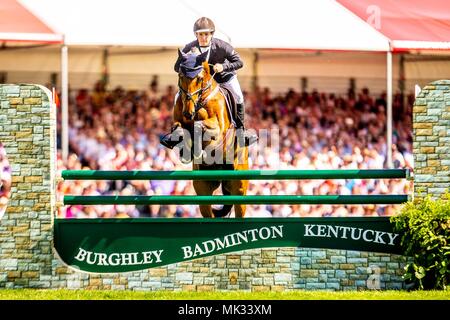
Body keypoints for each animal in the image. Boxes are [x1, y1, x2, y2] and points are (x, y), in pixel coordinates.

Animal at [172, 50, 250, 219]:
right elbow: (179, 129)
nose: (188, 112)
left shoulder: (219, 127)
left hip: (239, 186)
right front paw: (187, 149)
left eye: (200, 78)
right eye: (180, 76)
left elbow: (203, 127)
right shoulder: (179, 121)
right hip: (203, 188)